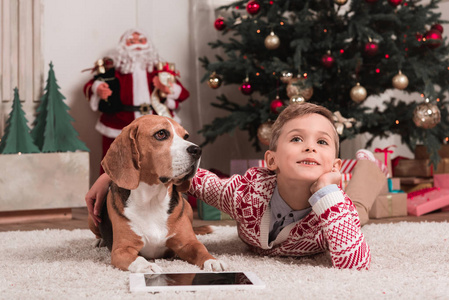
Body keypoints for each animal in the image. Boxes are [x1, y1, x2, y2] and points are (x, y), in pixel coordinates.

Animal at [89, 114, 226, 272]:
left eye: (185, 136)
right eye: (161, 134)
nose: (197, 150)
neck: (152, 199)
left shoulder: (188, 243)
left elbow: (201, 249)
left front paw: (213, 261)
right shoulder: (121, 250)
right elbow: (138, 259)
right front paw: (148, 266)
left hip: (188, 208)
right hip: (92, 214)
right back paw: (99, 241)